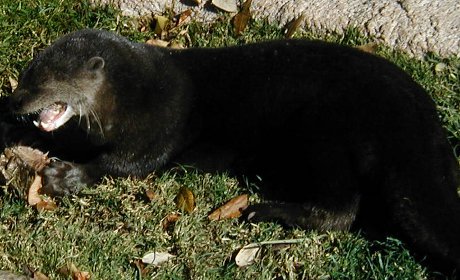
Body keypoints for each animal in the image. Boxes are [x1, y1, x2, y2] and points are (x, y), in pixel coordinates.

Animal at [2, 29, 460, 278]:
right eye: (25, 76)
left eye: (45, 82)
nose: (17, 101)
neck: (132, 96)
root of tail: (418, 116)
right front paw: (15, 130)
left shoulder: (160, 124)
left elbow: (127, 164)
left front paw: (67, 177)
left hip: (326, 133)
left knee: (341, 211)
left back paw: (263, 209)